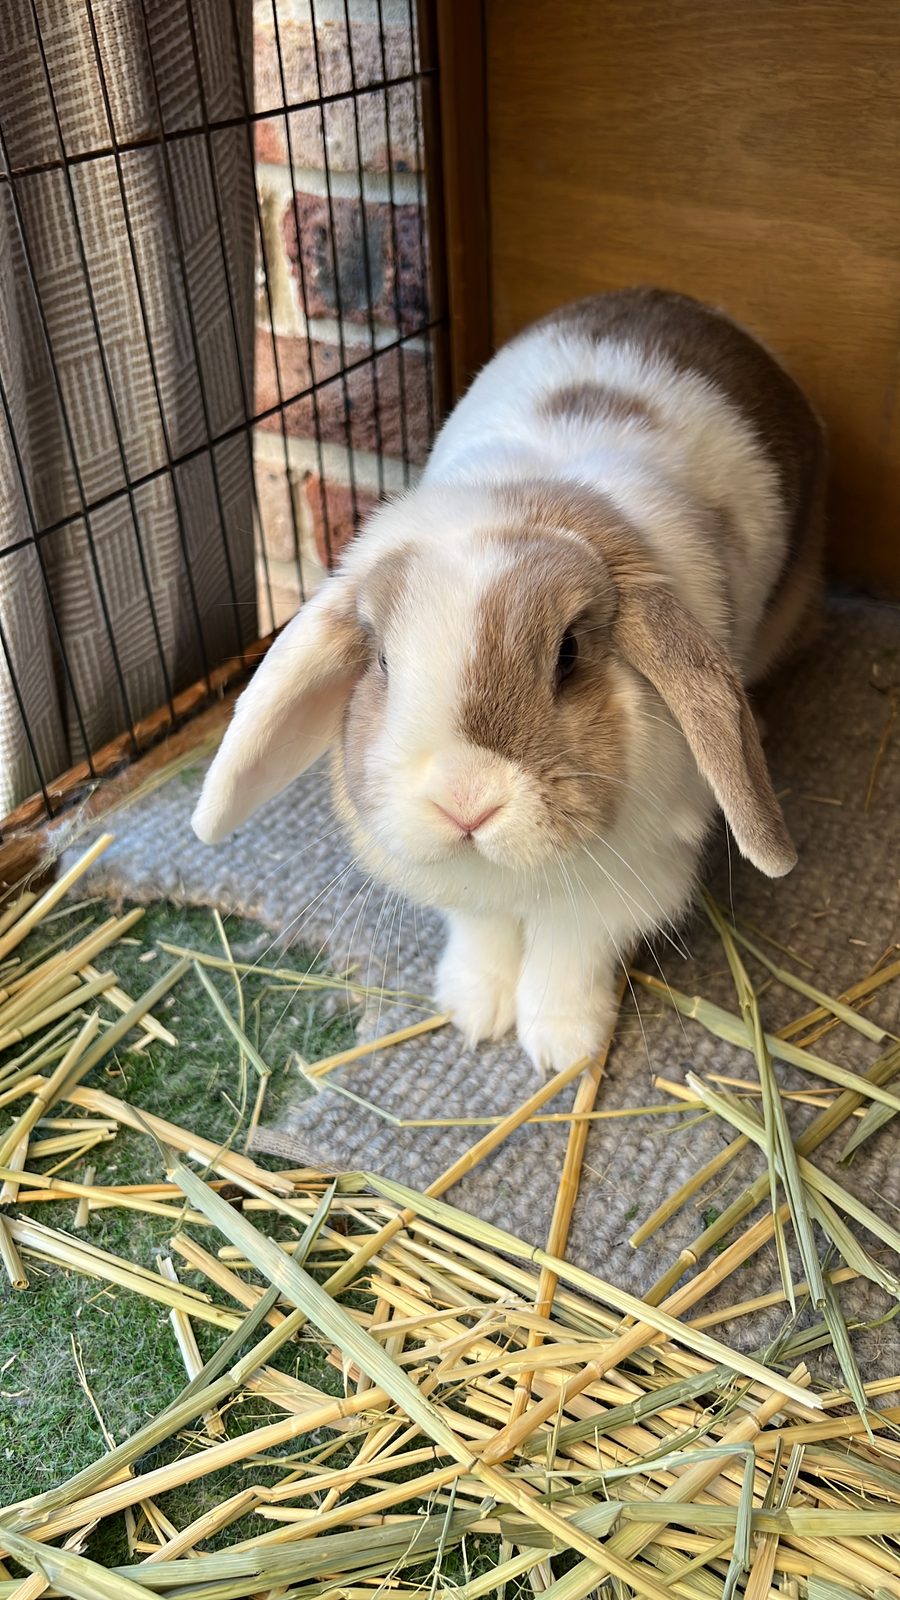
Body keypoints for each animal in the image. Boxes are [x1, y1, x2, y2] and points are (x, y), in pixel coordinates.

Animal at [192, 287, 825, 1073]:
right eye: (383, 663)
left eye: (569, 654)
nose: (465, 804)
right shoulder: (470, 893)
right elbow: (485, 933)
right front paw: (474, 1012)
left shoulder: (618, 887)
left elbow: (567, 953)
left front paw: (562, 1046)